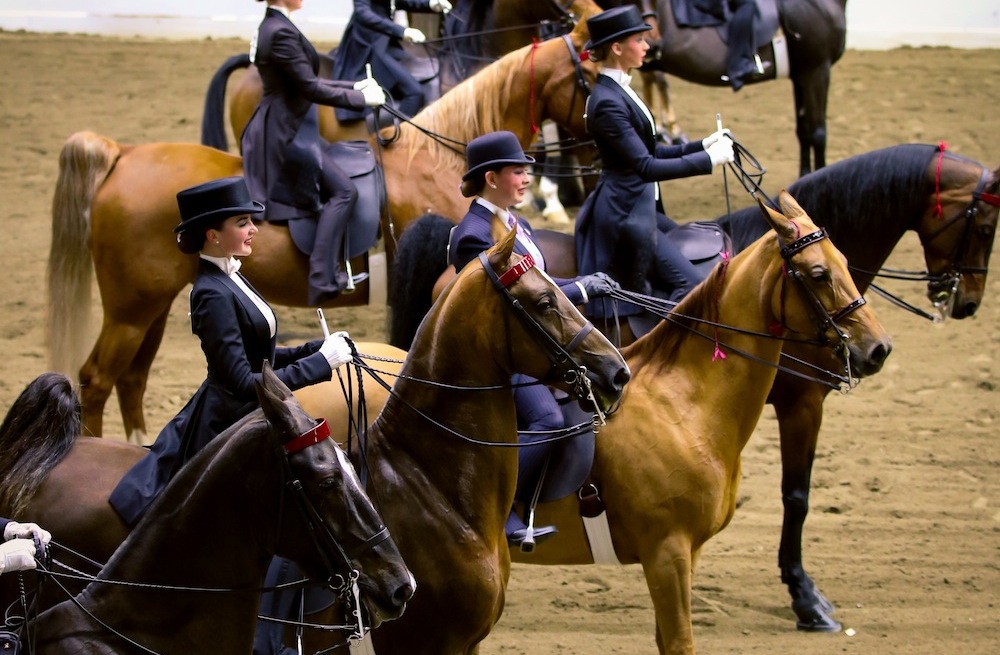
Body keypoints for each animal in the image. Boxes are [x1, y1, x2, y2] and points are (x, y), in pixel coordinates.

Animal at [50, 26, 596, 446]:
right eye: (590, 77)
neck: (439, 157)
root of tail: (123, 152)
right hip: (131, 308)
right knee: (96, 380)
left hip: (155, 304)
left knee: (132, 378)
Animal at [294, 192, 892, 652]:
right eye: (818, 274)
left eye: (845, 260)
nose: (877, 348)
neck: (684, 403)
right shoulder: (667, 553)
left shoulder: (684, 556)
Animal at [384, 144, 1000, 632]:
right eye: (819, 274)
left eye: (845, 260)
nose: (878, 349)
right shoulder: (798, 406)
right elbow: (796, 497)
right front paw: (807, 600)